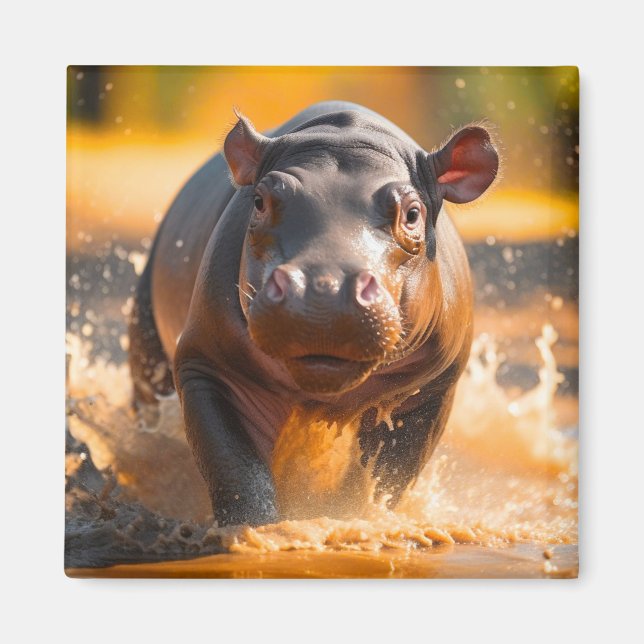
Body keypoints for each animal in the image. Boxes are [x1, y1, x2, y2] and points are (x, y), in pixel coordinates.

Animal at [128, 101, 499, 526]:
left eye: (412, 213)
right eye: (259, 201)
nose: (323, 288)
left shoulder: (431, 388)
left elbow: (388, 477)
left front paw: (354, 515)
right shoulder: (207, 364)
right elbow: (236, 469)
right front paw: (254, 531)